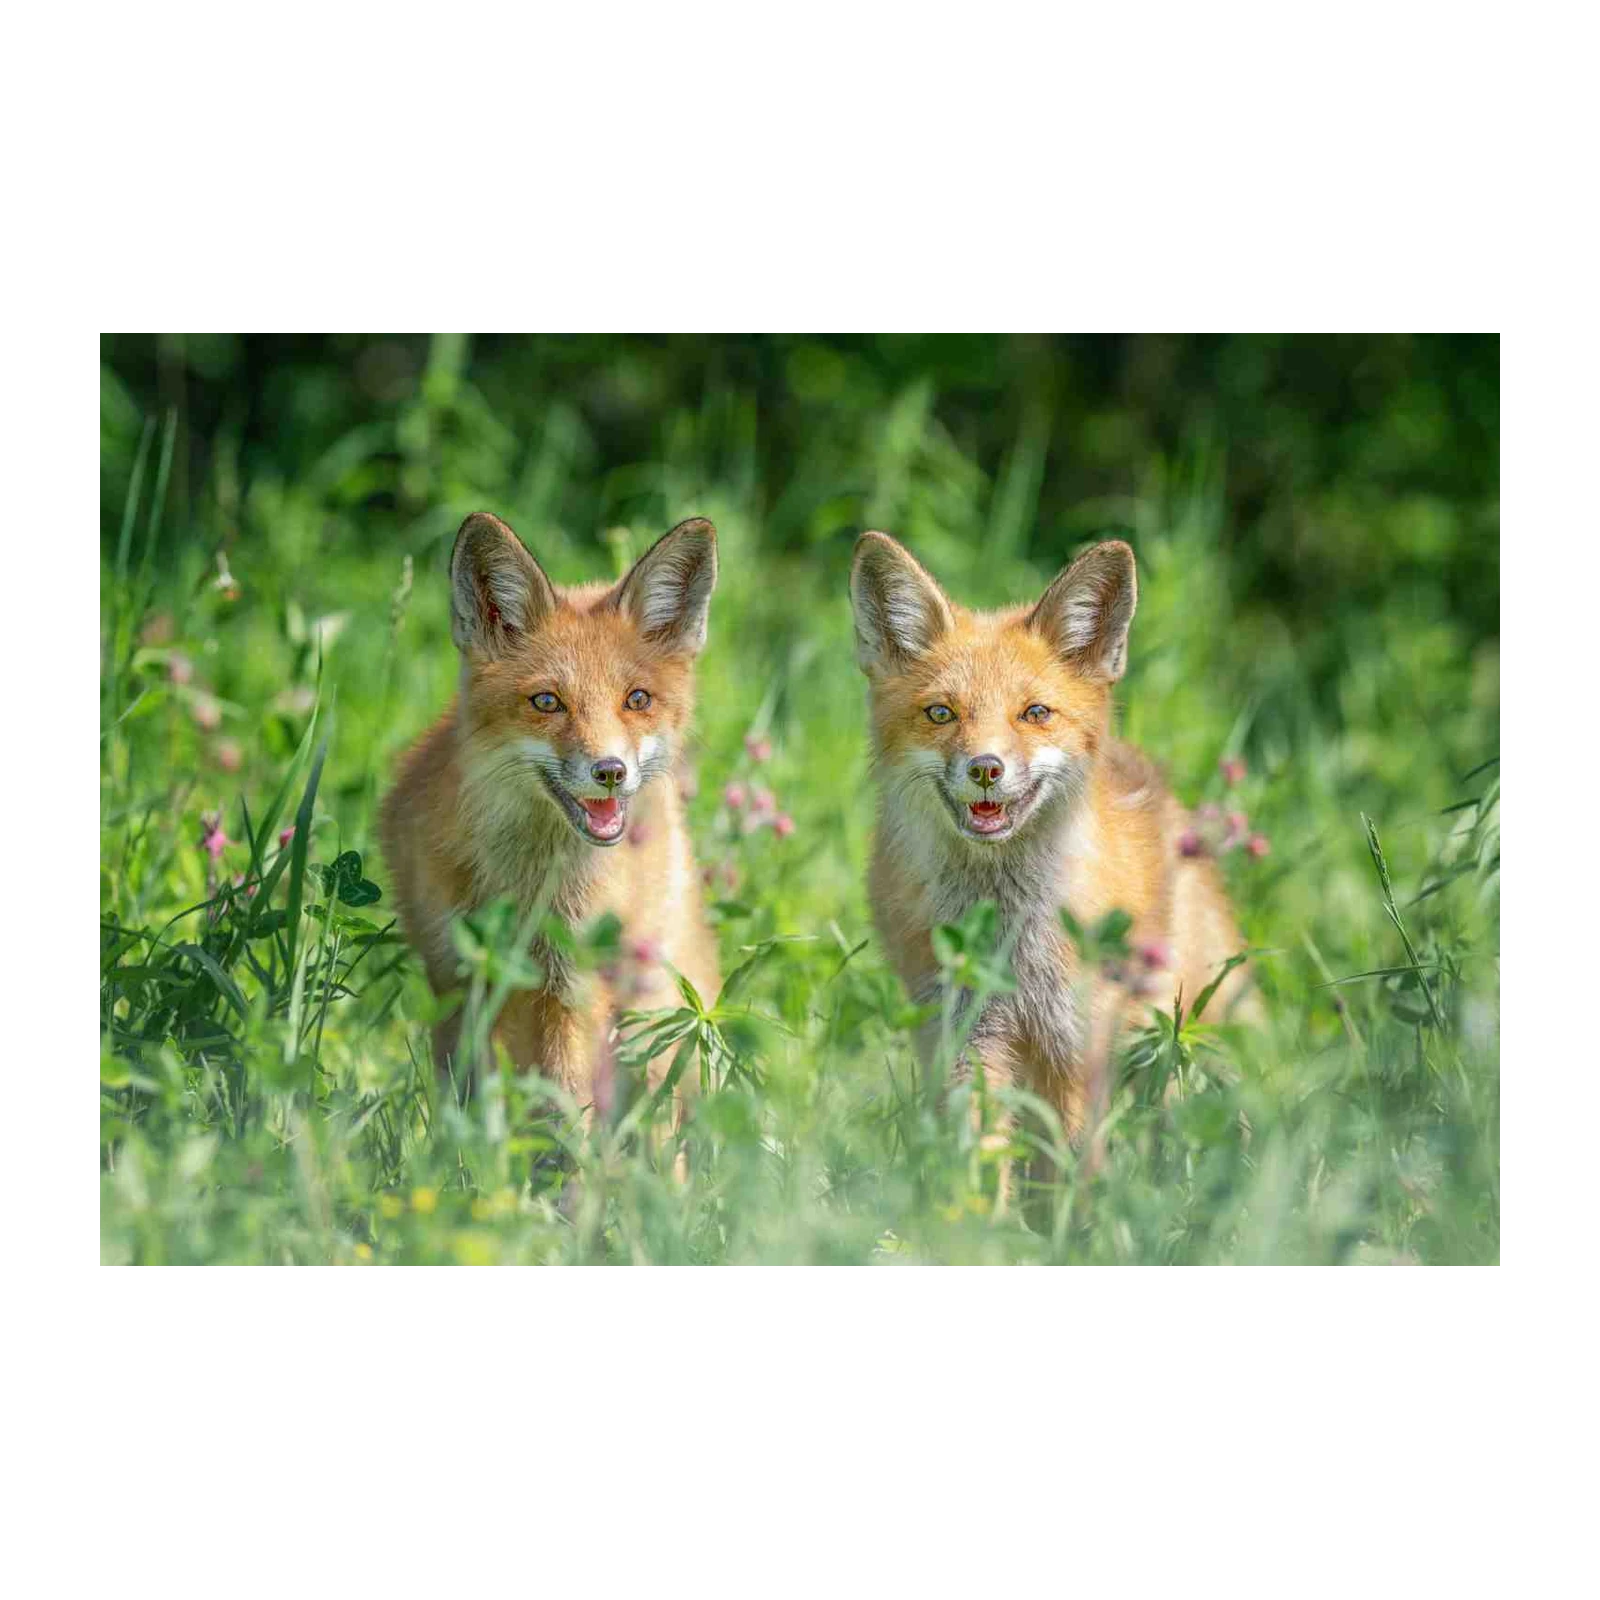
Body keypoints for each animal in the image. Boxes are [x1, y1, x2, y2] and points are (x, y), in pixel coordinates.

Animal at [379, 512, 722, 1140]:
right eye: (547, 701)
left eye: (637, 699)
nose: (610, 771)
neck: (526, 886)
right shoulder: (457, 977)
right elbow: (470, 1101)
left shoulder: (572, 987)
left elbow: (565, 1109)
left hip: (647, 1013)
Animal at [849, 530, 1258, 1165]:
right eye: (941, 713)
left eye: (1034, 713)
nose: (985, 768)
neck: (1012, 935)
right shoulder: (968, 1039)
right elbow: (979, 1158)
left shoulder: (1073, 1048)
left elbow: (1070, 1169)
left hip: (1179, 1031)